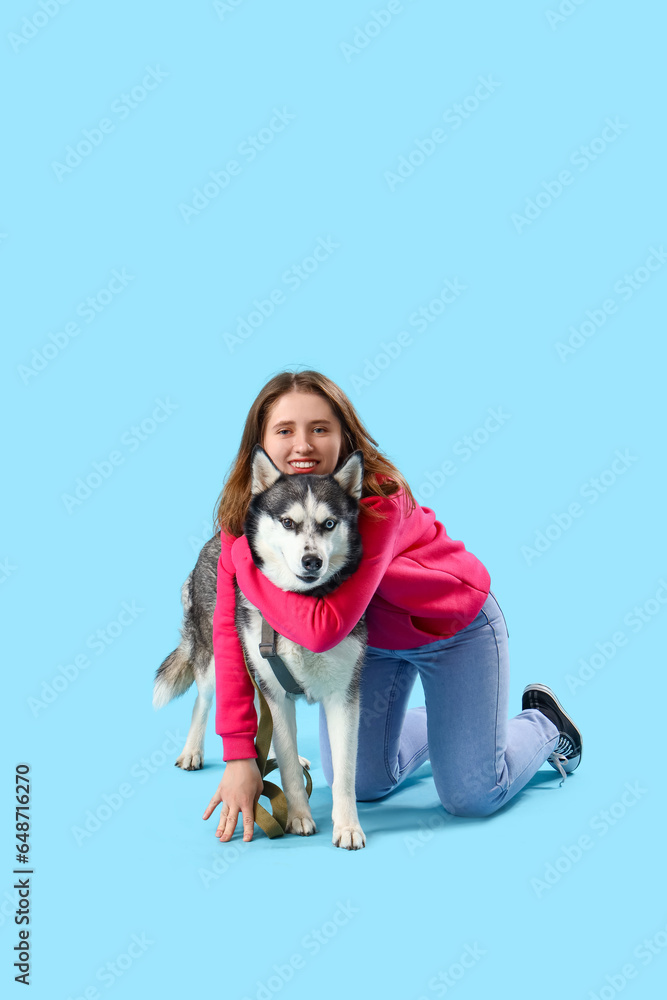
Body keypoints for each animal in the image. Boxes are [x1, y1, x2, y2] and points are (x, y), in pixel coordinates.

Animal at [154, 450, 368, 848]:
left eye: (329, 524)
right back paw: (192, 750)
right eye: (288, 522)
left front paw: (348, 826)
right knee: (204, 700)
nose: (312, 561)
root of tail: (217, 538)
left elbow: (345, 770)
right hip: (216, 660)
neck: (301, 607)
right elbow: (286, 767)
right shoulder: (274, 690)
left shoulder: (343, 695)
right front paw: (297, 815)